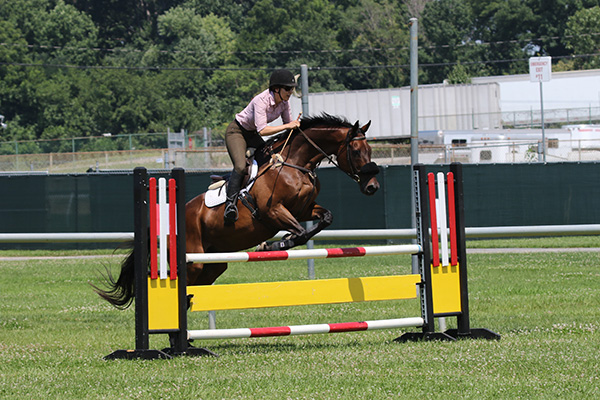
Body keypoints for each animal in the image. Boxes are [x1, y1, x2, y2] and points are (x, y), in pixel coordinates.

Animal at [94, 113, 380, 310]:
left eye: (370, 150)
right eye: (356, 150)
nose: (373, 186)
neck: (295, 164)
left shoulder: (303, 209)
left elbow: (324, 219)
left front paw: (278, 243)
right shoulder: (273, 211)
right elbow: (298, 233)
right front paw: (273, 245)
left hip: (214, 264)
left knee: (194, 290)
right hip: (194, 261)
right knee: (184, 287)